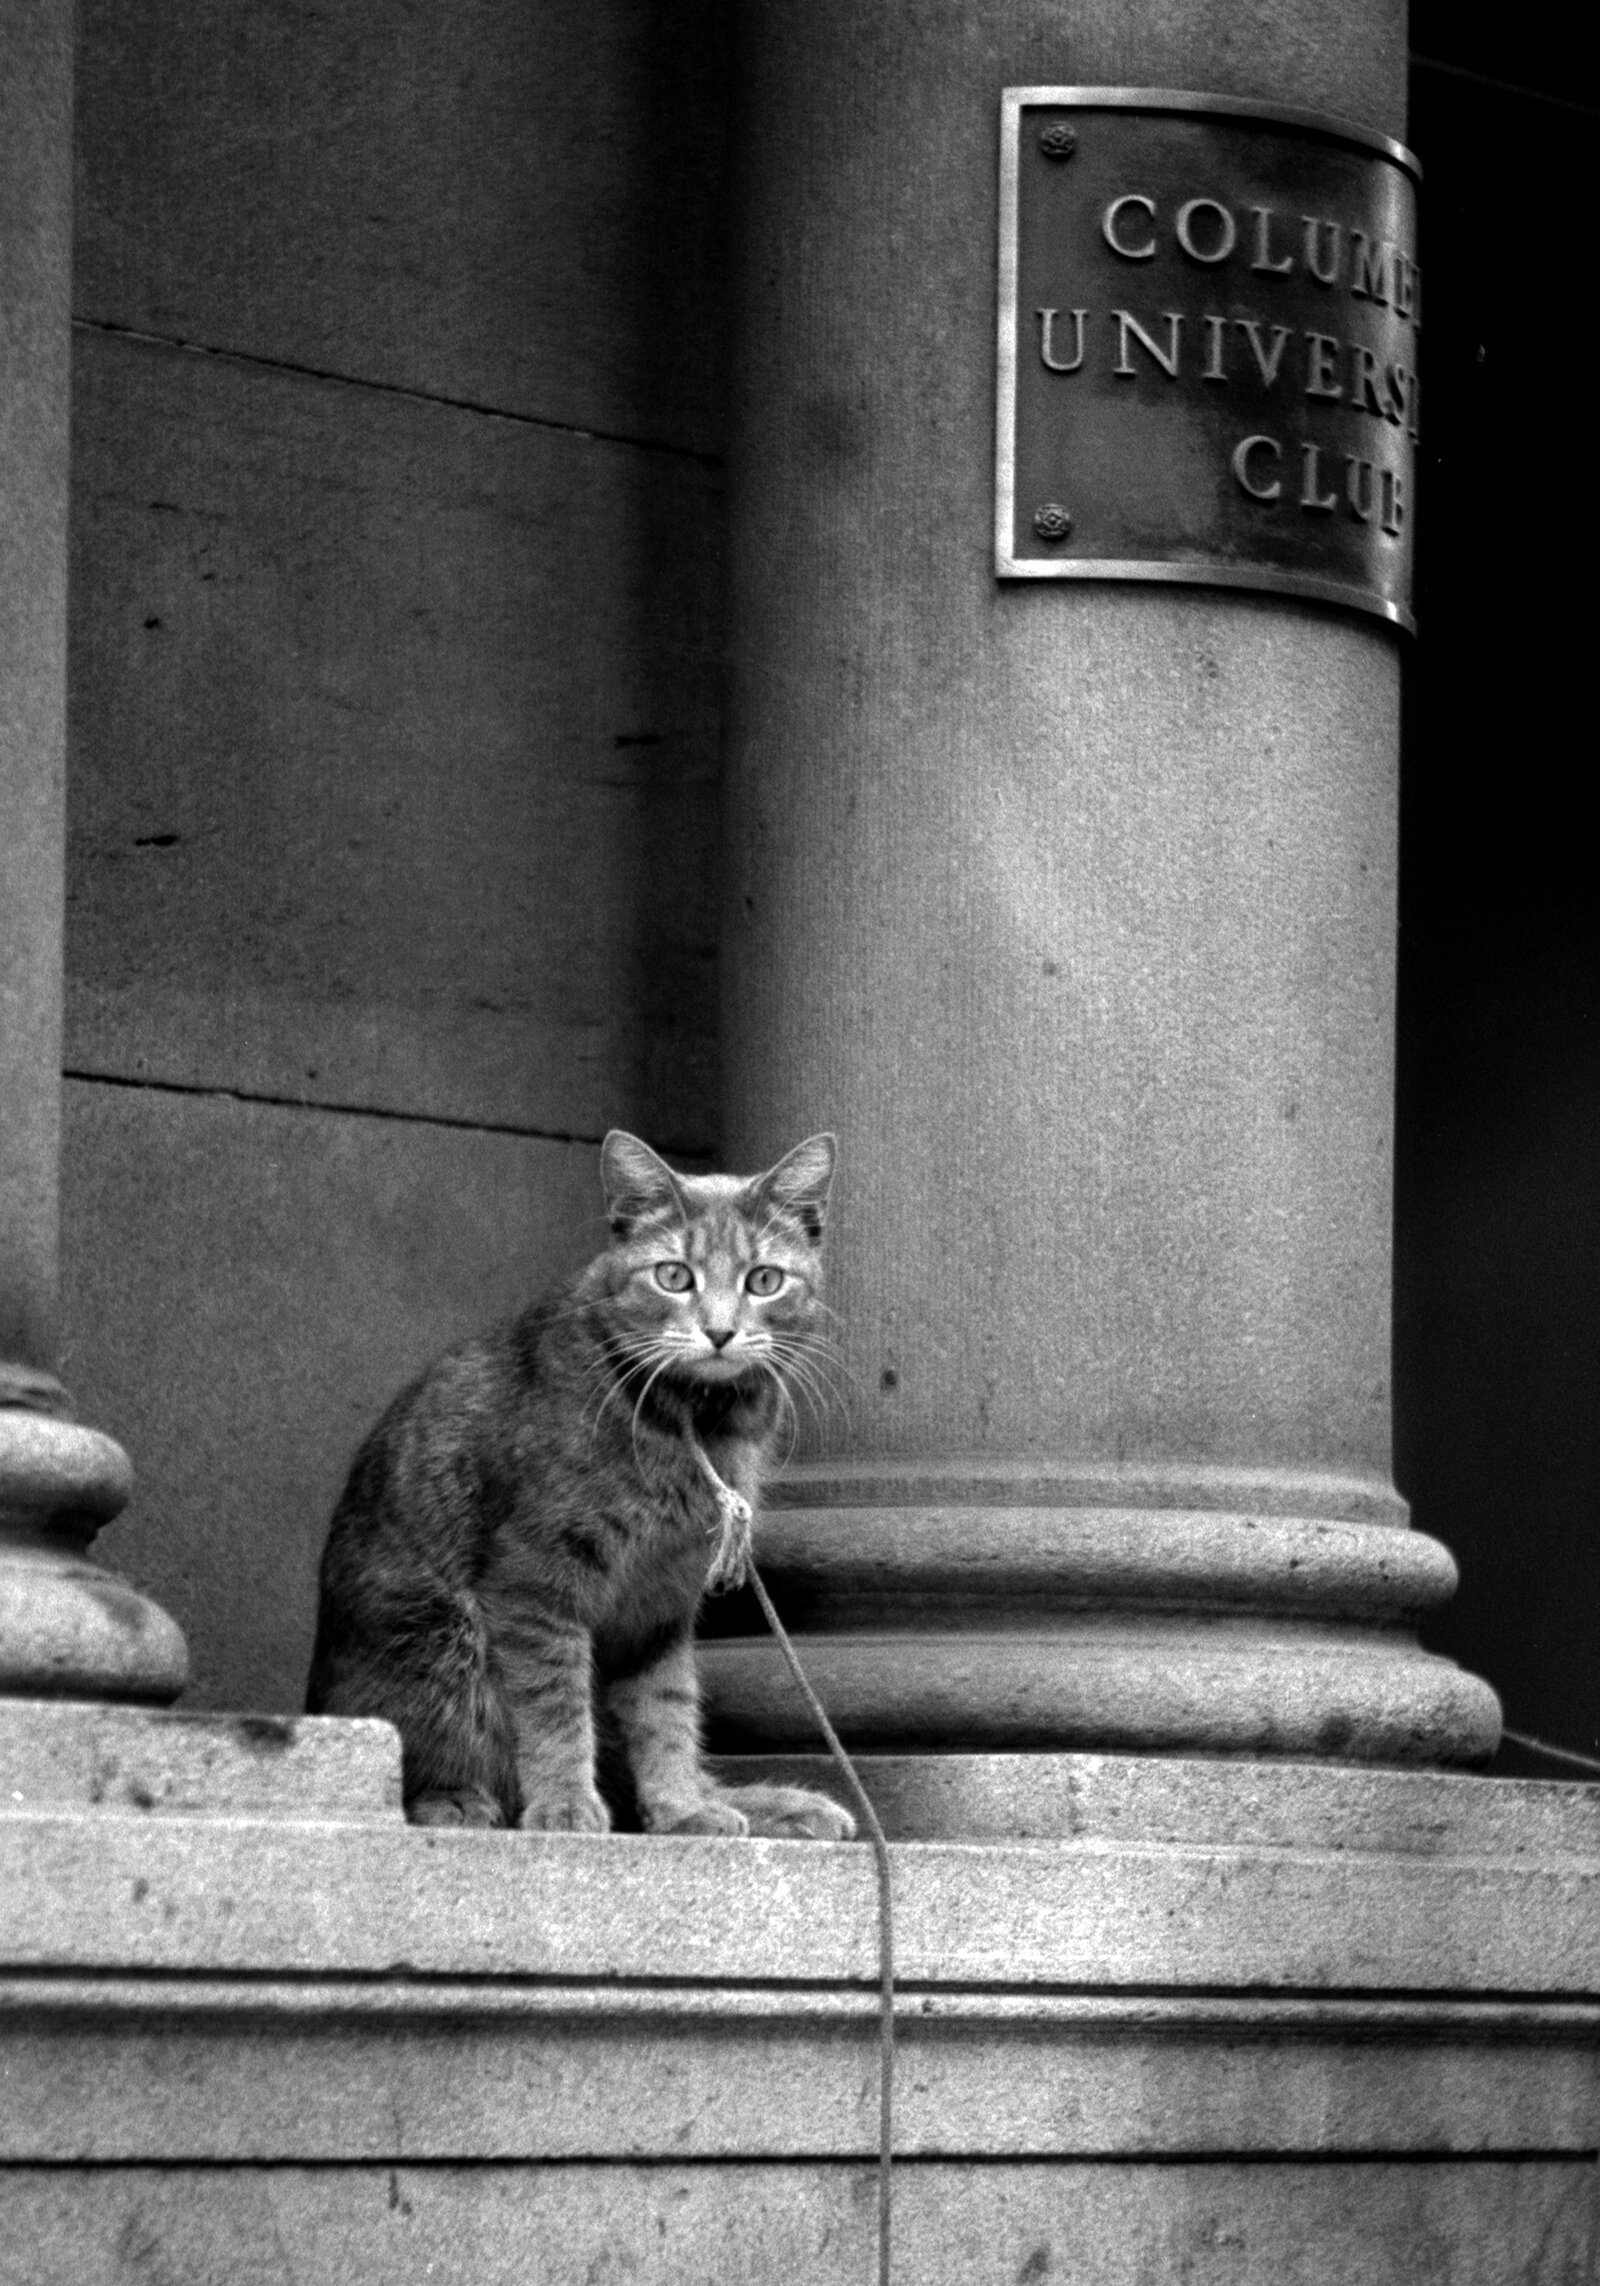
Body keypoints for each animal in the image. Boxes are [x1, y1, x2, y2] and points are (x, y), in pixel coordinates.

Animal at [301, 1124, 850, 1837]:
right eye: (674, 1276)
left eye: (764, 1280)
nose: (720, 1331)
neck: (695, 1424)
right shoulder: (535, 1581)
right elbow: (554, 1708)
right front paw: (563, 1803)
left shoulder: (660, 1603)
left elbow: (667, 1714)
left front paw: (683, 1808)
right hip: (435, 1640)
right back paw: (456, 1801)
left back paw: (773, 1805)